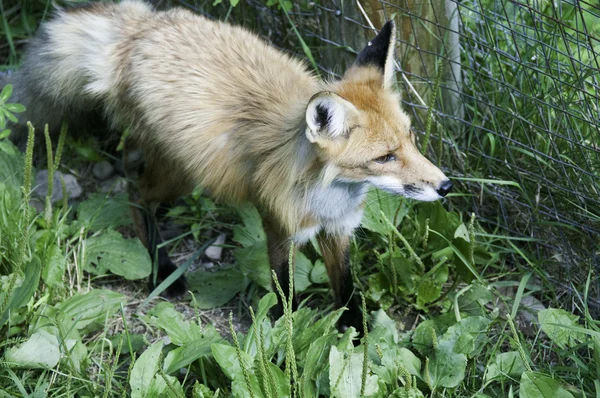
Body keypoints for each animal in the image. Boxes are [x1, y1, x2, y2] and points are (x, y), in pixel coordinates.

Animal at [4, 1, 452, 332]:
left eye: (411, 140)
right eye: (385, 157)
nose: (446, 186)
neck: (326, 194)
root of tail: (140, 29)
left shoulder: (337, 231)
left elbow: (347, 292)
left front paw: (357, 339)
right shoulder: (280, 229)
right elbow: (284, 292)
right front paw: (284, 336)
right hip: (181, 173)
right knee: (134, 191)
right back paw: (160, 268)